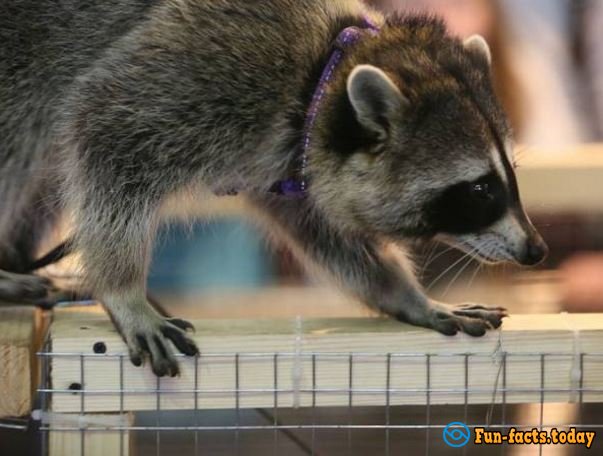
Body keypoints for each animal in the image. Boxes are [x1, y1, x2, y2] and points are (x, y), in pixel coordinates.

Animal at [0, 0, 548, 376]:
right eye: (479, 190)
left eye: (509, 176)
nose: (537, 250)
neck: (325, 72)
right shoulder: (208, 71)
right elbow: (104, 128)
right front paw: (123, 289)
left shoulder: (290, 158)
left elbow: (328, 234)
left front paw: (405, 293)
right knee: (22, 134)